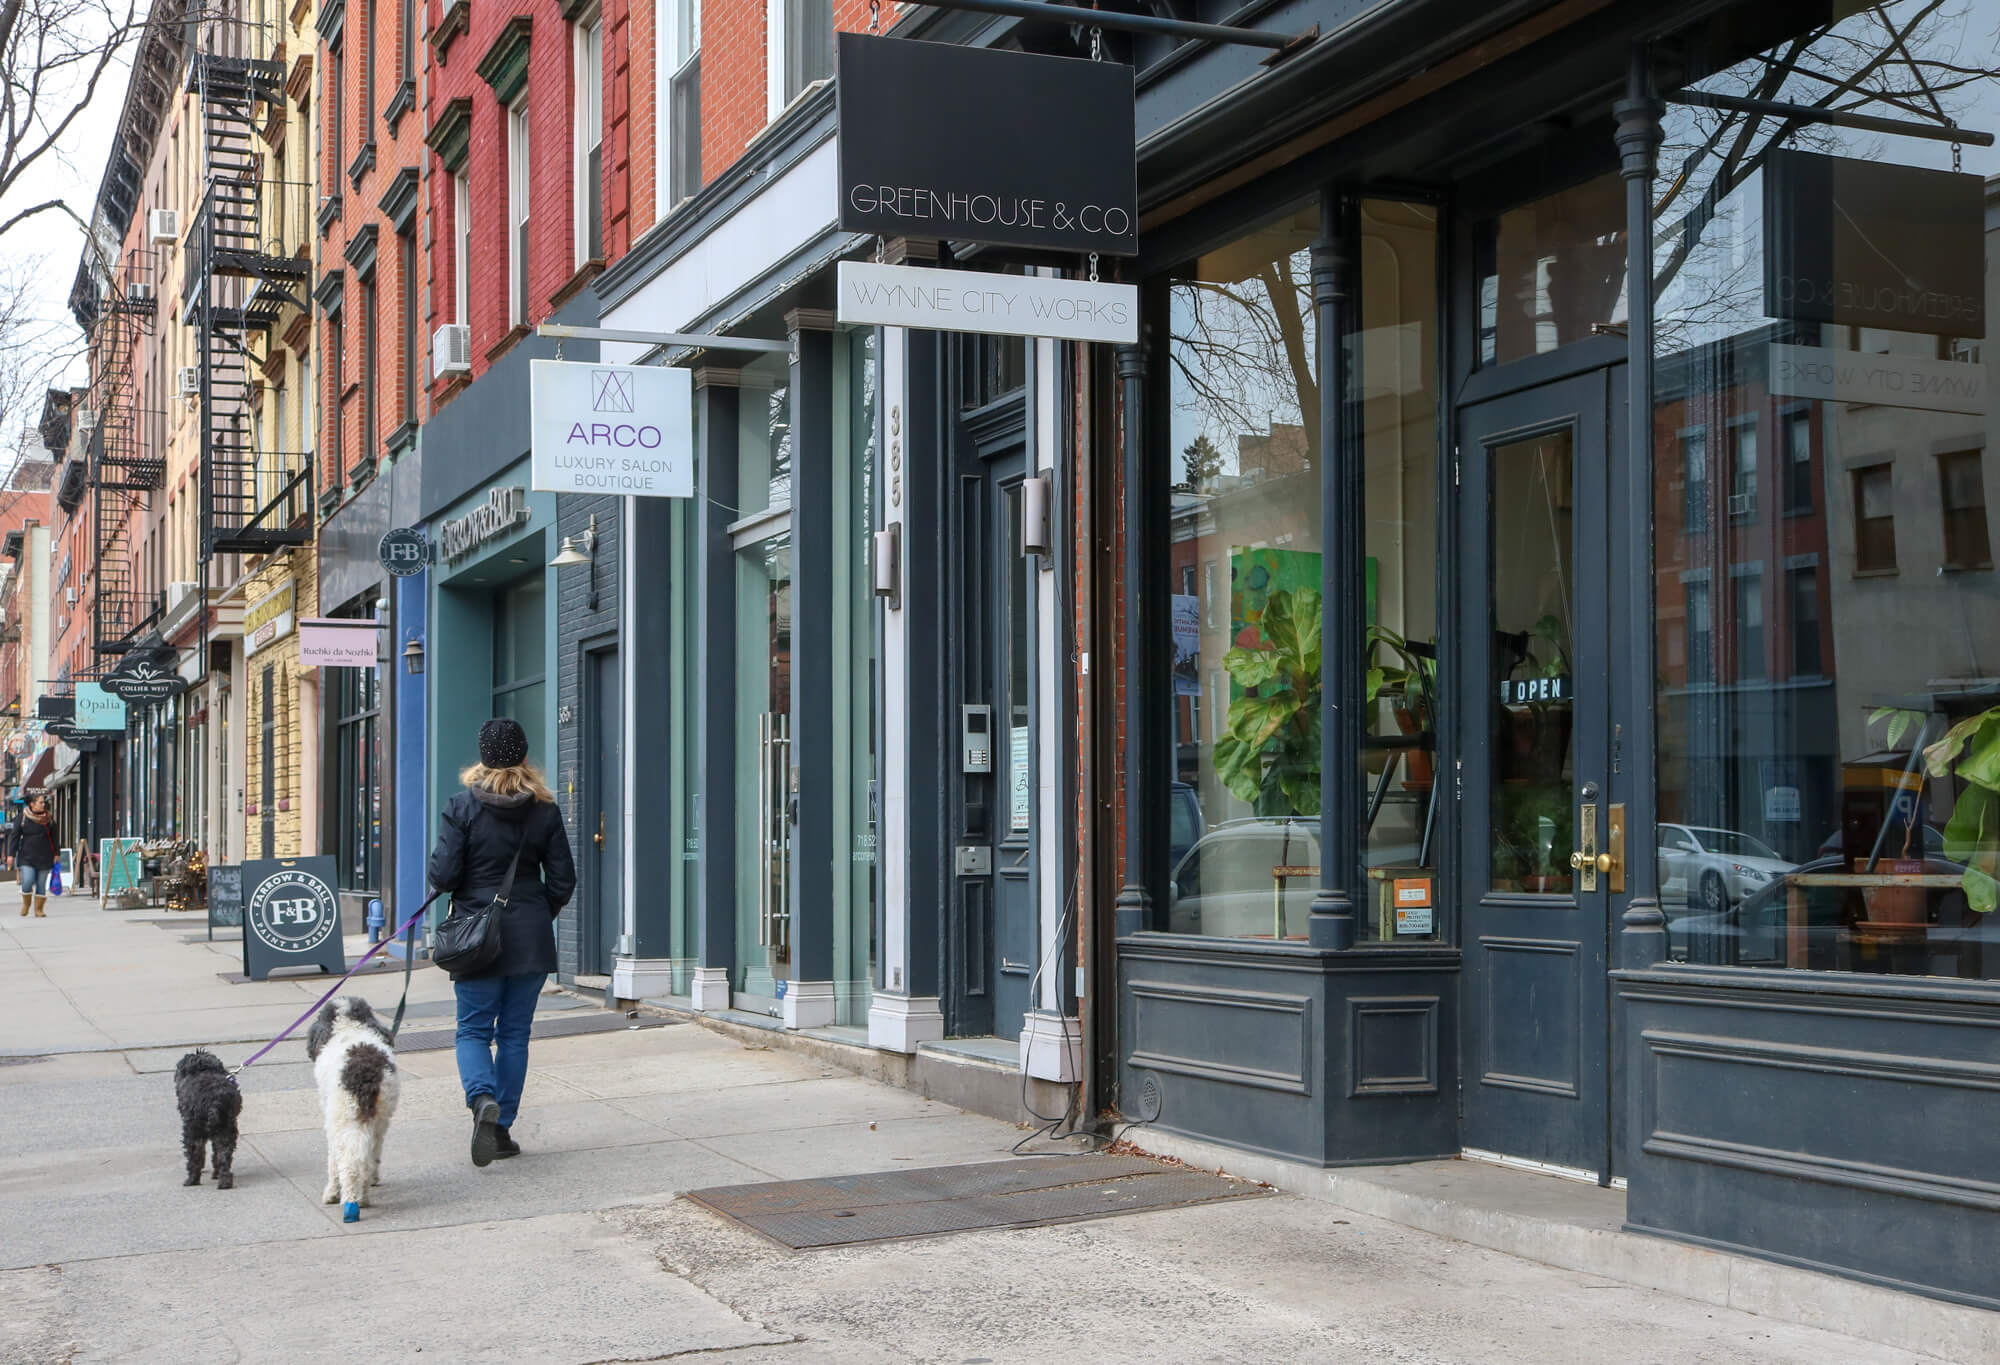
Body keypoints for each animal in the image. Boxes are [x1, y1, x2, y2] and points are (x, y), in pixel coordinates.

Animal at [176, 1048, 244, 1184]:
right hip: (226, 1129)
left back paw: (192, 1180)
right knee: (223, 1155)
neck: (203, 1069)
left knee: (194, 1155)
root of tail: (215, 1101)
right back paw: (224, 1181)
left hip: (192, 1131)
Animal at [304, 988, 402, 1224]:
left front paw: (331, 1193)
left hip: (343, 1120)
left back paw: (347, 1201)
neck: (350, 1028)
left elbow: (333, 1161)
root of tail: (365, 1076)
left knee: (348, 1164)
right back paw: (363, 1198)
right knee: (367, 1160)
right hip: (375, 1121)